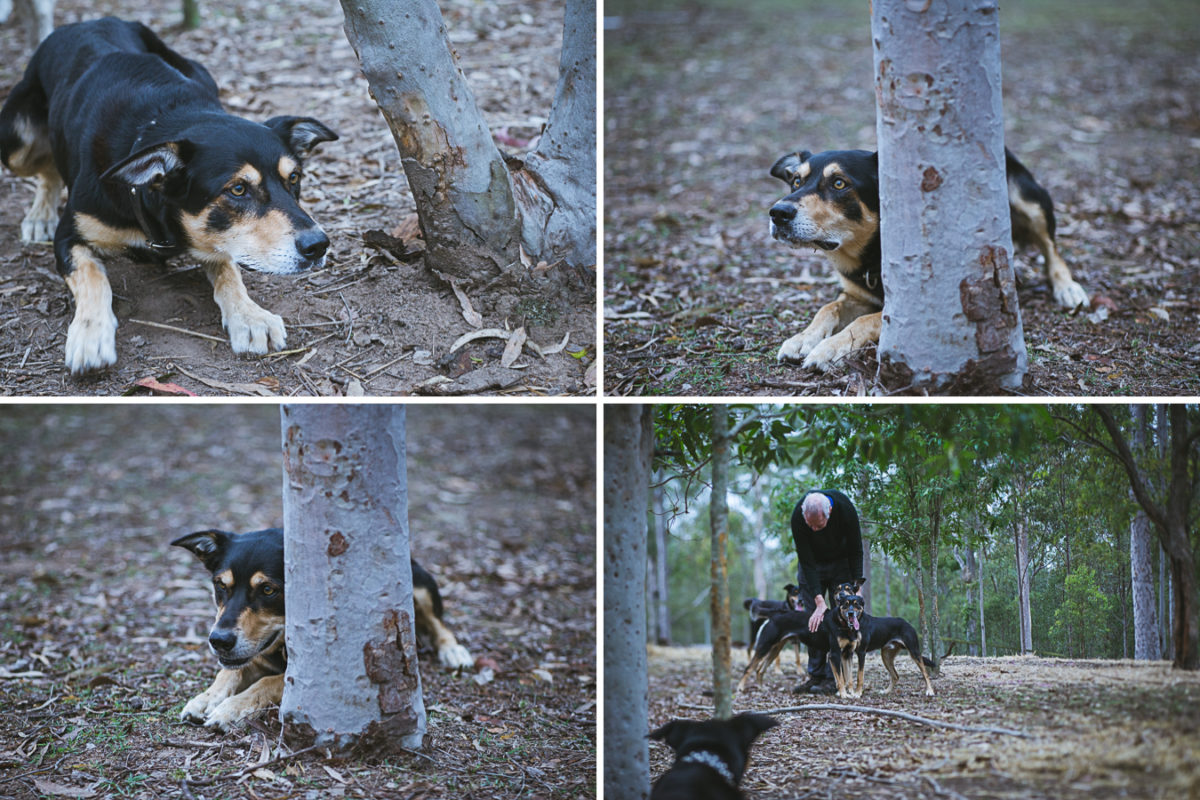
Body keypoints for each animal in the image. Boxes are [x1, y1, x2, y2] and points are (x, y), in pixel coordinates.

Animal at [0, 17, 338, 376]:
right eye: (238, 189)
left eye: (295, 178)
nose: (318, 245)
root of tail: (91, 20)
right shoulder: (69, 236)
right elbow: (93, 276)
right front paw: (91, 334)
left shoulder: (215, 237)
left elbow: (228, 269)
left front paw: (249, 315)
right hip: (14, 142)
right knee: (45, 168)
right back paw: (40, 215)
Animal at [171, 527, 470, 734]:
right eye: (220, 585)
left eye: (267, 589)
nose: (218, 641)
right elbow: (228, 672)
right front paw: (206, 699)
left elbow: (268, 682)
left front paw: (230, 709)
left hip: (418, 583)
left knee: (438, 622)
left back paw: (454, 651)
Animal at [768, 145, 1089, 371]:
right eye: (796, 181)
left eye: (838, 183)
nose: (777, 213)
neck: (874, 255)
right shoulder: (854, 293)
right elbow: (828, 308)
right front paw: (803, 339)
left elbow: (865, 321)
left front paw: (827, 349)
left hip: (1027, 199)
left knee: (1051, 246)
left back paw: (1068, 288)